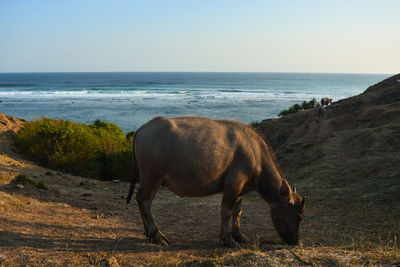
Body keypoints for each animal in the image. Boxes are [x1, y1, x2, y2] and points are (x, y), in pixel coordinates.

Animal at [126, 116, 304, 248]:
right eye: (297, 217)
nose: (295, 241)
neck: (255, 153)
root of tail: (144, 127)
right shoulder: (233, 183)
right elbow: (226, 211)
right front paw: (228, 240)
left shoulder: (242, 189)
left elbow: (237, 211)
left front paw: (239, 235)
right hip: (152, 177)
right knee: (144, 200)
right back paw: (157, 235)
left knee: (141, 201)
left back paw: (148, 234)